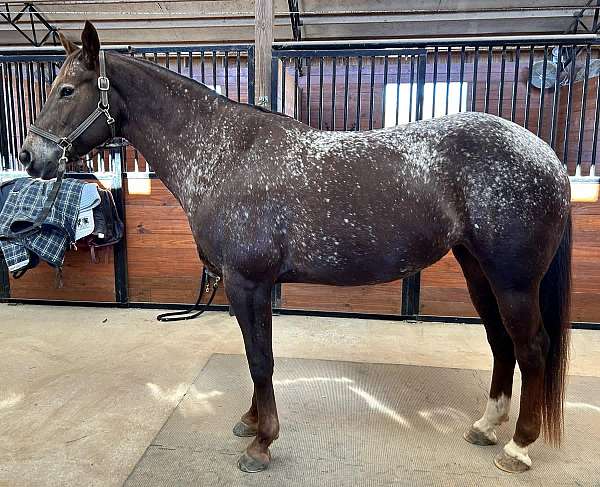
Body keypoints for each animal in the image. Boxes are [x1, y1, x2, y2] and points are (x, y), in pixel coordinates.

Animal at [19, 21, 572, 472]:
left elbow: (260, 358)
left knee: (532, 347)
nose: (28, 156)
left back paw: (519, 447)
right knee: (501, 342)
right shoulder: (246, 287)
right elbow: (253, 356)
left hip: (514, 280)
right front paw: (250, 422)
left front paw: (261, 444)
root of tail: (546, 155)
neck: (224, 155)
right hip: (478, 270)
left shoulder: (248, 283)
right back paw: (486, 426)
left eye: (66, 89)